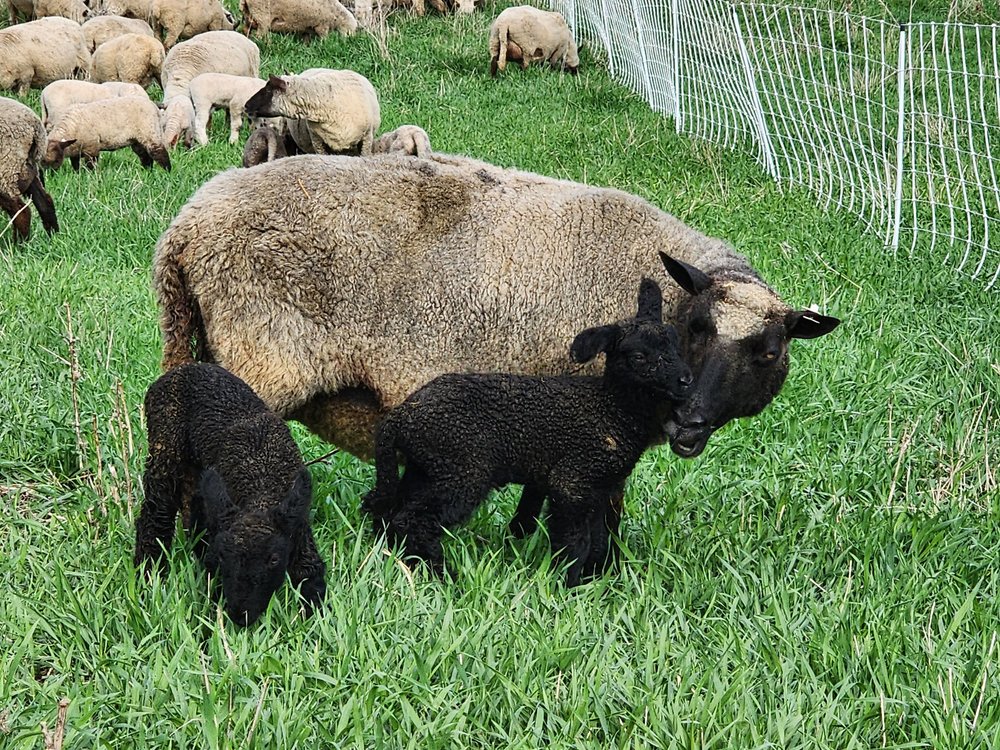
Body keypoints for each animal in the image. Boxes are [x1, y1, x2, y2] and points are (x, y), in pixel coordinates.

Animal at [0, 96, 58, 241]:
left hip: (7, 169)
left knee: (21, 211)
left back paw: (19, 244)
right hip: (26, 169)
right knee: (45, 203)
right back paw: (53, 237)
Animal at [42, 96, 170, 171]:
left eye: (57, 160)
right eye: (42, 161)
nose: (50, 175)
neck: (71, 127)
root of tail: (153, 105)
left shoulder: (92, 146)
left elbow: (91, 165)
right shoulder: (76, 150)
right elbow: (75, 165)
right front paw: (77, 174)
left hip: (150, 132)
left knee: (159, 152)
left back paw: (167, 171)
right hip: (137, 140)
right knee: (145, 157)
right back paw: (147, 171)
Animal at [134, 362, 327, 627]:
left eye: (274, 559)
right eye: (224, 557)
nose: (241, 615)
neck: (261, 483)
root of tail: (183, 369)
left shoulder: (296, 524)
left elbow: (310, 570)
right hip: (165, 446)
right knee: (157, 511)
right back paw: (148, 572)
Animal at [363, 278, 693, 586]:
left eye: (676, 346)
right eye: (638, 357)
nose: (685, 380)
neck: (611, 411)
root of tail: (402, 415)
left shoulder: (602, 487)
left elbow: (599, 541)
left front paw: (593, 582)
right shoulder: (572, 480)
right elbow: (576, 543)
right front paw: (569, 586)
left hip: (426, 468)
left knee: (391, 512)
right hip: (462, 468)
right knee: (413, 521)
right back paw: (445, 576)